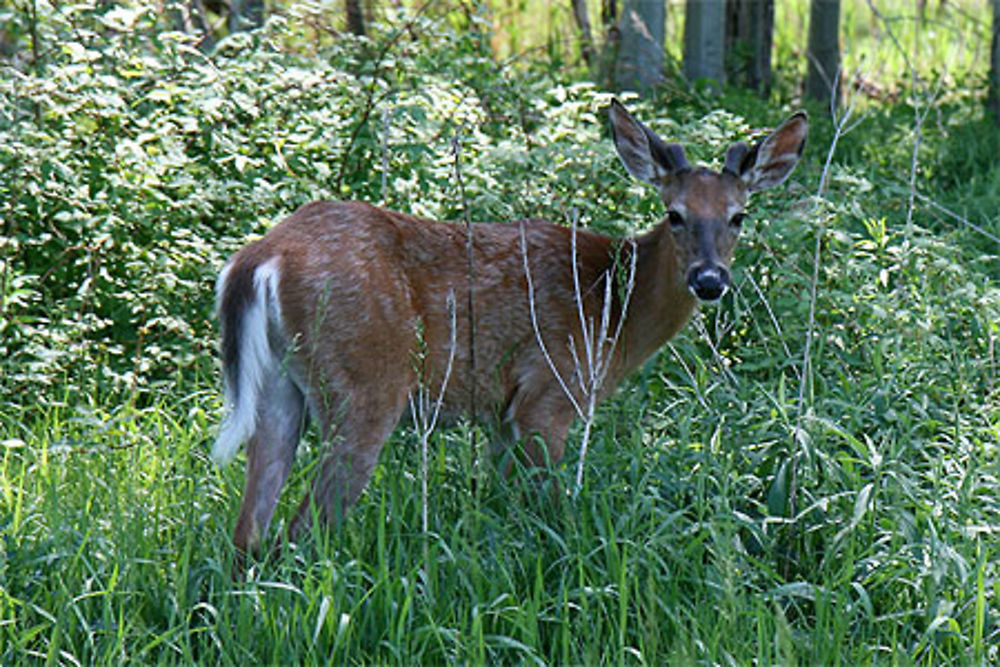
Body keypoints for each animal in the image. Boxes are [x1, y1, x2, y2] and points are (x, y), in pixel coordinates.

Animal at [211, 98, 804, 560]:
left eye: (738, 216)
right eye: (675, 213)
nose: (709, 279)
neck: (614, 309)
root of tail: (261, 256)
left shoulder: (501, 410)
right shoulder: (550, 392)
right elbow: (552, 509)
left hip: (280, 389)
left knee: (248, 533)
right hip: (364, 383)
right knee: (299, 531)